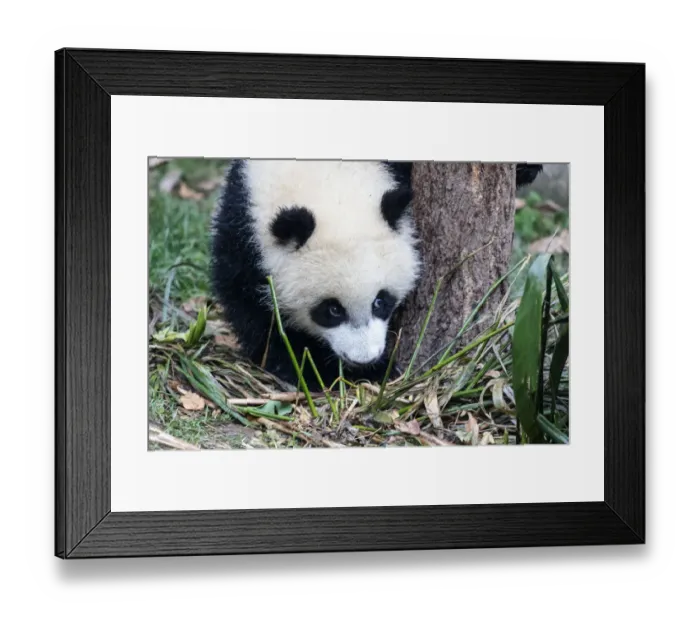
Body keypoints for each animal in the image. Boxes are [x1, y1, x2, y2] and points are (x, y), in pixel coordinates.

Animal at [210, 160, 543, 391]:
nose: (364, 358)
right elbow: (253, 310)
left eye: (380, 302)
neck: (323, 178)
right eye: (331, 310)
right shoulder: (242, 224)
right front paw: (320, 370)